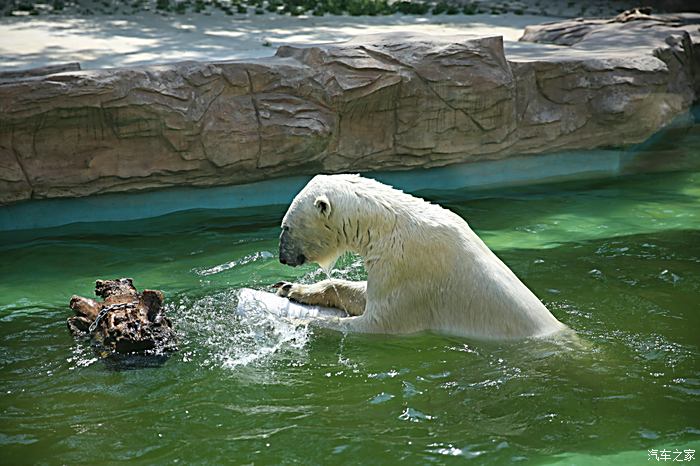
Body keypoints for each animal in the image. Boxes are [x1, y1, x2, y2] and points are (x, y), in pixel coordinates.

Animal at [274, 174, 568, 338]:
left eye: (285, 227)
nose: (282, 258)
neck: (385, 224)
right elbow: (361, 295)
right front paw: (289, 287)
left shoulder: (409, 267)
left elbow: (377, 321)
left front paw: (296, 320)